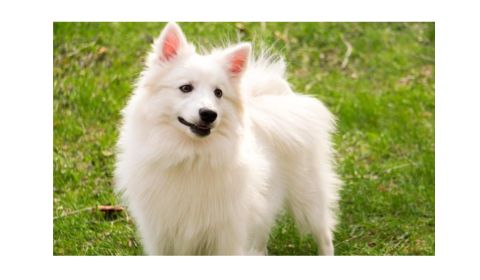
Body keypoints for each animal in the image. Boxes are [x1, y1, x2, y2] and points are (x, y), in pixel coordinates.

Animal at [115, 23, 342, 255]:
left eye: (218, 93)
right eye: (185, 88)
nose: (209, 114)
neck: (191, 156)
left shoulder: (227, 233)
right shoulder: (160, 236)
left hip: (308, 196)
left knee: (324, 234)